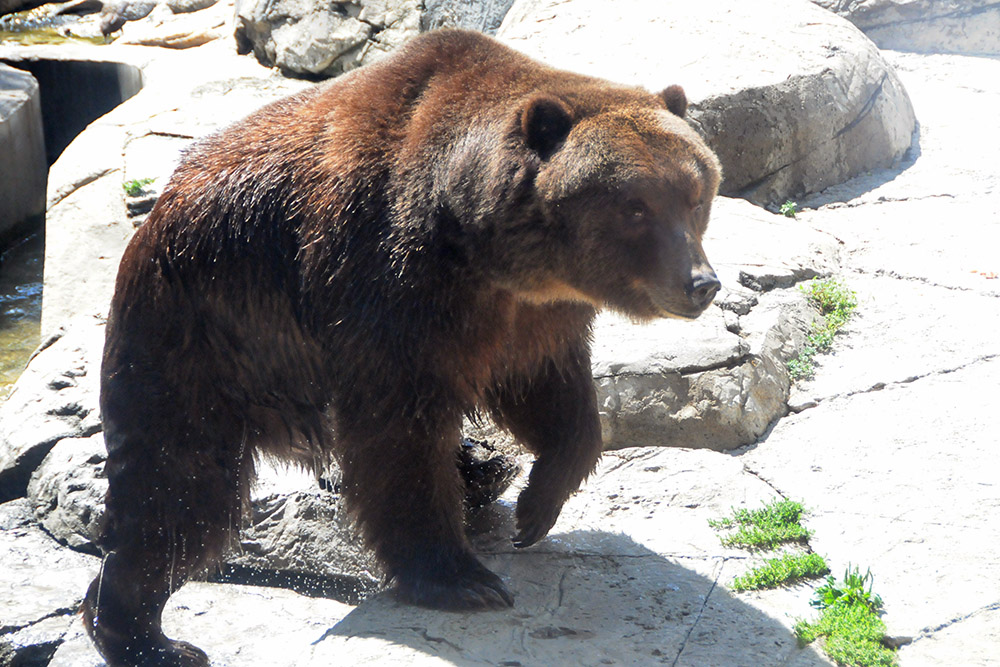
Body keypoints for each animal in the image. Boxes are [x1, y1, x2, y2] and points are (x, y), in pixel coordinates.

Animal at [82, 28, 721, 666]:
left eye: (694, 196)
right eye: (635, 206)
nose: (701, 283)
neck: (480, 247)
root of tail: (155, 214)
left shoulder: (534, 317)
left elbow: (553, 394)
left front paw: (536, 507)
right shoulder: (389, 284)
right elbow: (401, 437)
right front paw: (462, 578)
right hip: (197, 336)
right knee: (183, 491)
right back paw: (147, 635)